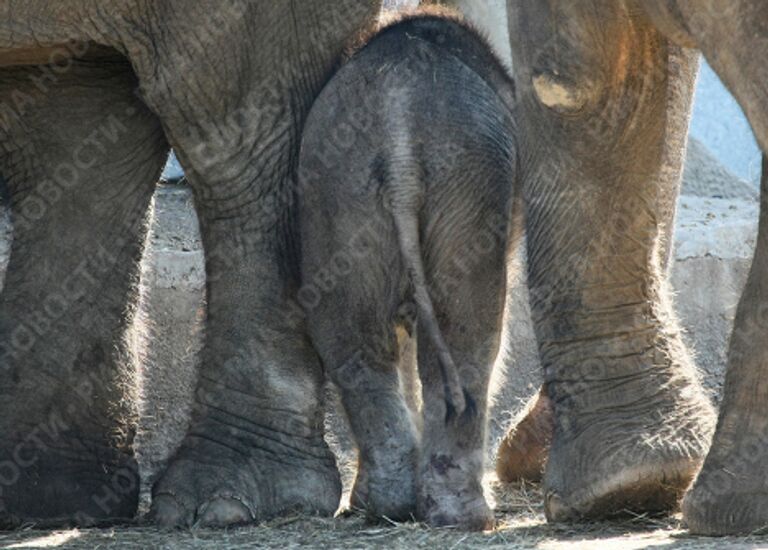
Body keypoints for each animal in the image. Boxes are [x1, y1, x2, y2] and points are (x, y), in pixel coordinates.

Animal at [296, 9, 520, 532]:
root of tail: (399, 144)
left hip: (338, 189)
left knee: (356, 341)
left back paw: (382, 506)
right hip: (469, 183)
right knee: (469, 333)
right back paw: (467, 518)